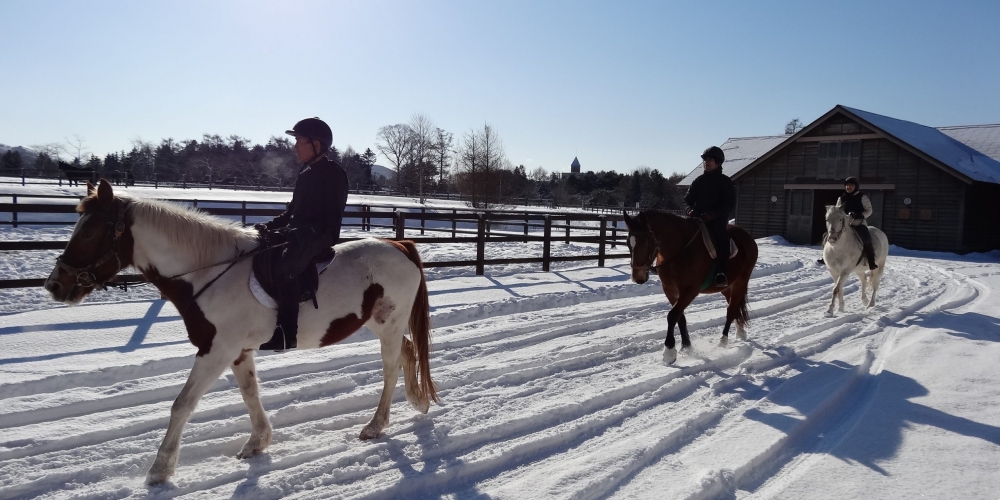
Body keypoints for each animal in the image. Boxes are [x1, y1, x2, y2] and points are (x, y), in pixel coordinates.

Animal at [43, 179, 438, 485]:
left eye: (90, 231)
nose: (55, 285)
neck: (207, 272)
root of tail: (399, 245)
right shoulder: (236, 351)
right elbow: (250, 394)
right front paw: (257, 443)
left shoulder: (215, 350)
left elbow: (182, 404)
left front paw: (160, 470)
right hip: (380, 323)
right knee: (406, 351)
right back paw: (417, 401)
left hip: (388, 324)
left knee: (390, 366)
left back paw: (376, 425)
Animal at [623, 210, 759, 364]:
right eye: (628, 243)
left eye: (645, 241)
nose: (638, 277)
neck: (679, 249)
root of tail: (748, 238)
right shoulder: (670, 290)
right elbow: (680, 317)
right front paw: (686, 346)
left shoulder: (690, 291)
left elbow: (672, 315)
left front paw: (669, 351)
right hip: (727, 287)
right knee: (734, 306)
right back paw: (740, 331)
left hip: (740, 282)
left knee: (730, 310)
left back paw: (723, 342)